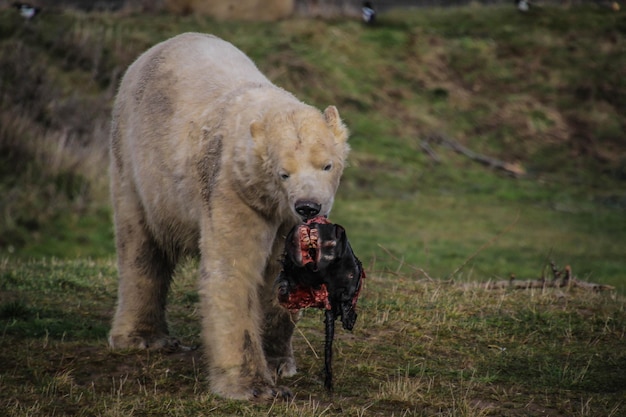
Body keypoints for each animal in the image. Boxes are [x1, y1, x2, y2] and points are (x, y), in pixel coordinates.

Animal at [109, 33, 348, 400]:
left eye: (327, 165)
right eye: (283, 173)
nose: (308, 206)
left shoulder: (284, 217)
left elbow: (286, 272)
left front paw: (279, 362)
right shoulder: (233, 190)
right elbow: (233, 270)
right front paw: (253, 386)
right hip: (135, 160)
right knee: (140, 242)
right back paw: (142, 337)